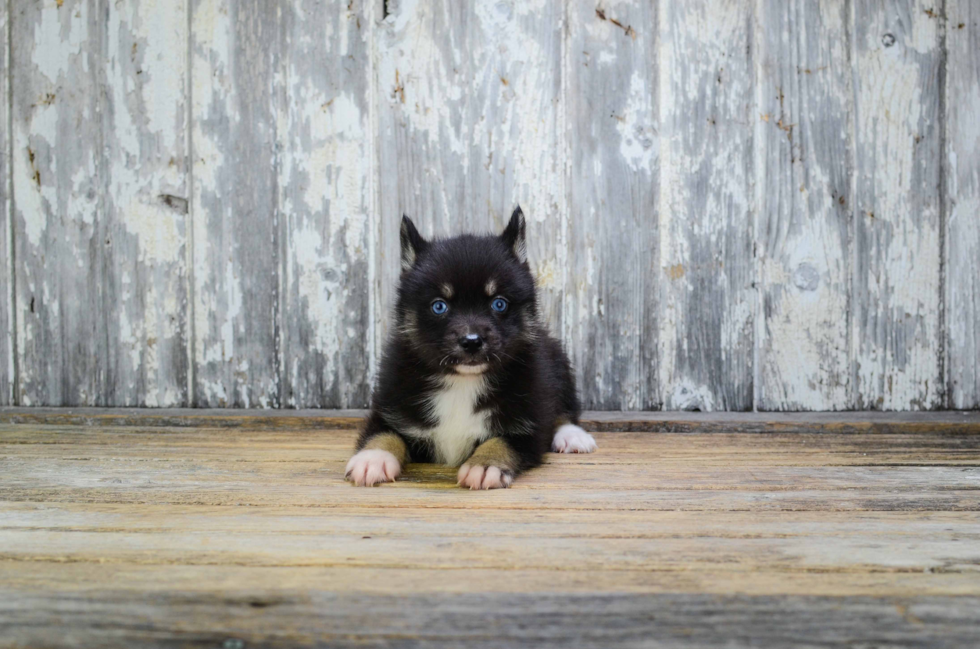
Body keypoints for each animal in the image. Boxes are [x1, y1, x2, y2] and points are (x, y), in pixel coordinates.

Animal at [348, 205, 600, 488]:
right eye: (439, 306)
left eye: (499, 303)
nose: (471, 341)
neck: (463, 382)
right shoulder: (390, 406)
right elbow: (384, 432)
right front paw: (372, 458)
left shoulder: (530, 421)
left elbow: (501, 440)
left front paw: (485, 464)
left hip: (558, 363)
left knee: (565, 410)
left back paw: (572, 435)